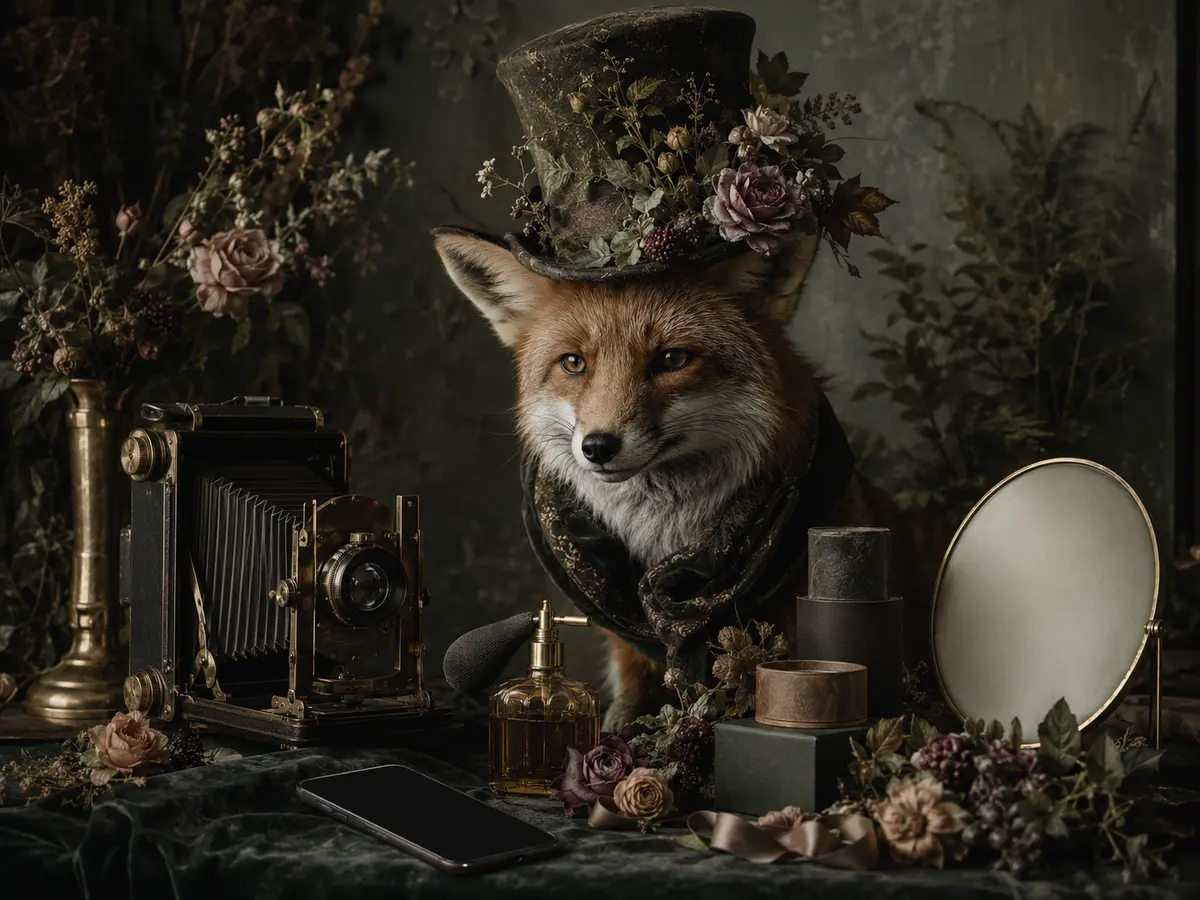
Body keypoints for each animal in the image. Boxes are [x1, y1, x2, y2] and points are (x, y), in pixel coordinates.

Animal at [432, 225, 946, 732]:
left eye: (673, 359)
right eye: (573, 363)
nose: (598, 447)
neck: (665, 538)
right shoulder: (626, 637)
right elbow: (626, 699)